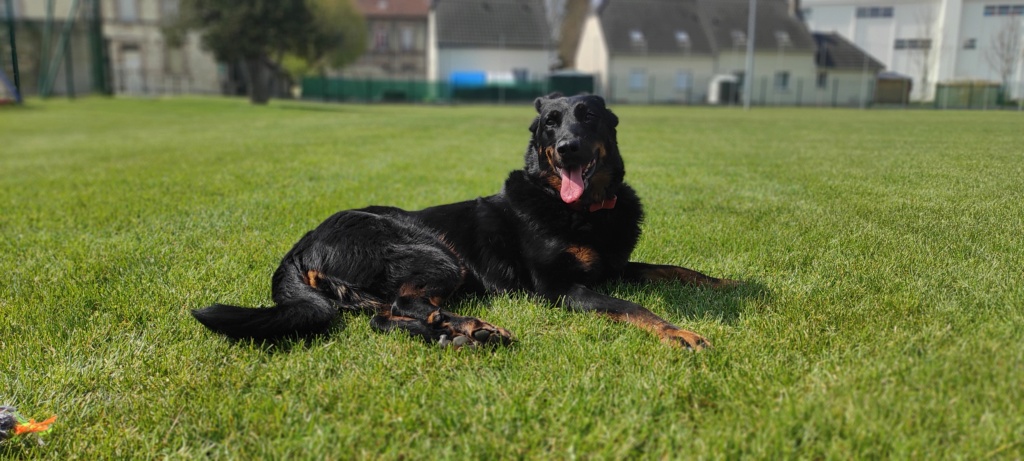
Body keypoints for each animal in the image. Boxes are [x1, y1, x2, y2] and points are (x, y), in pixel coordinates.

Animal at [192, 93, 737, 350]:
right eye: (550, 124)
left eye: (587, 115)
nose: (566, 148)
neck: (580, 209)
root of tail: (302, 242)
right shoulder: (562, 289)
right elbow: (632, 306)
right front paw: (679, 332)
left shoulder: (615, 265)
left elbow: (673, 269)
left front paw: (726, 283)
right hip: (435, 254)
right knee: (399, 307)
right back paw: (473, 327)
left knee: (386, 318)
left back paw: (458, 333)